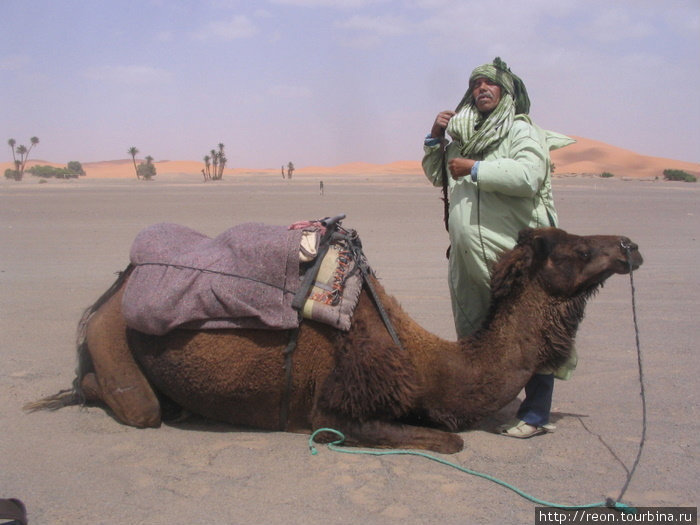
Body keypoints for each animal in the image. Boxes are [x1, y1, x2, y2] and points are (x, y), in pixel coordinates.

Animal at [27, 227, 644, 452]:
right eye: (574, 249)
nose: (629, 246)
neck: (427, 364)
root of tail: (113, 289)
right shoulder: (336, 411)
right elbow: (452, 442)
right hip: (114, 337)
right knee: (134, 404)